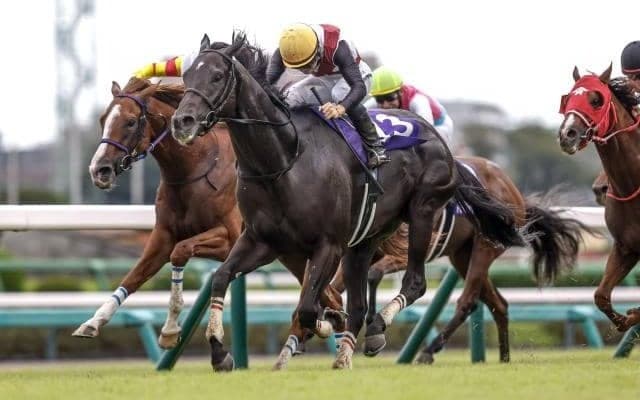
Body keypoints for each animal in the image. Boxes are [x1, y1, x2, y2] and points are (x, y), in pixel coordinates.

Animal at [75, 73, 343, 351]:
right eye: (103, 120)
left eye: (129, 121)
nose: (99, 170)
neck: (194, 170)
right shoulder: (163, 235)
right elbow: (133, 276)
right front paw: (93, 322)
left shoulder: (230, 238)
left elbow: (180, 251)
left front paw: (170, 329)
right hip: (292, 253)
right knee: (331, 297)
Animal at [171, 32, 525, 371]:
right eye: (187, 75)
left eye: (217, 76)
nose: (182, 121)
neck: (283, 161)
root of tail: (440, 142)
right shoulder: (262, 242)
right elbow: (220, 278)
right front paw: (219, 353)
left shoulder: (328, 245)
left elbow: (308, 307)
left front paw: (325, 324)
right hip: (370, 239)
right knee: (362, 303)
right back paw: (348, 353)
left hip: (425, 213)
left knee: (417, 284)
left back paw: (382, 328)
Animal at [331, 156, 589, 363]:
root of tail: (513, 190)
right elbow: (337, 286)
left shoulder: (407, 250)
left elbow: (373, 274)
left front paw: (372, 325)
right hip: (462, 256)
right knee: (498, 303)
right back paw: (504, 358)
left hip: (485, 247)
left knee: (467, 301)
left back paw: (429, 351)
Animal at [558, 65, 640, 332]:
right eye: (568, 99)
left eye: (596, 100)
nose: (567, 134)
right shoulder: (625, 247)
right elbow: (600, 296)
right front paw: (627, 320)